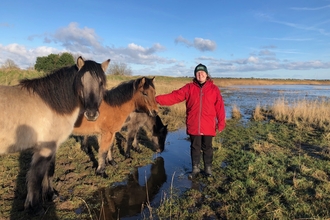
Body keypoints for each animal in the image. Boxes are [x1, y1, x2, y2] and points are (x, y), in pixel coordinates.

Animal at [0, 56, 109, 215]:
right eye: (81, 82)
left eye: (101, 83)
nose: (91, 114)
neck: (53, 105)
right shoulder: (45, 149)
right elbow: (36, 178)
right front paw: (35, 207)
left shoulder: (52, 147)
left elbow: (49, 171)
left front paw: (50, 194)